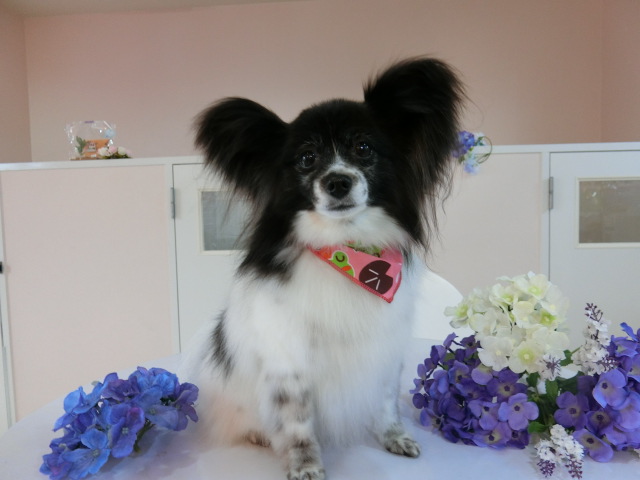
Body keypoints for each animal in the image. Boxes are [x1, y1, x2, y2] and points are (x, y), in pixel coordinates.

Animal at [186, 57, 463, 480]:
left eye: (363, 148)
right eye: (306, 158)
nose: (337, 182)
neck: (347, 253)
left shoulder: (384, 349)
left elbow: (385, 402)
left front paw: (395, 437)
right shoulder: (289, 361)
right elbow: (297, 422)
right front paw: (305, 465)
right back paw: (261, 436)